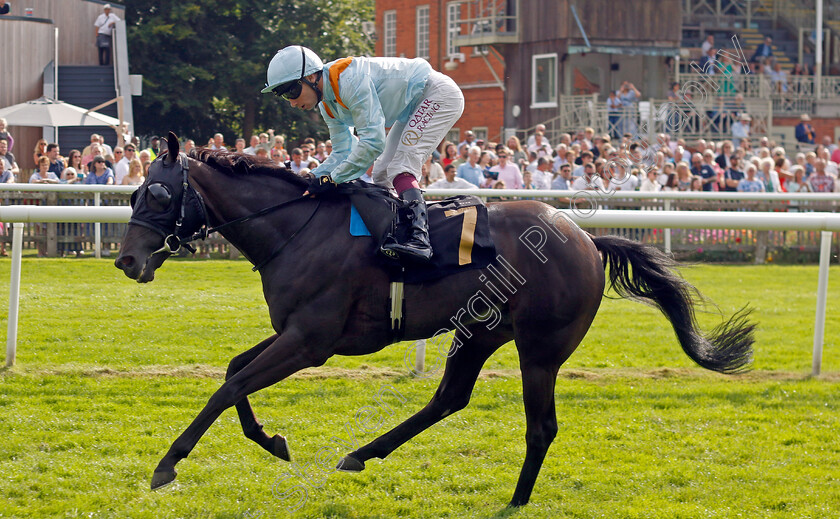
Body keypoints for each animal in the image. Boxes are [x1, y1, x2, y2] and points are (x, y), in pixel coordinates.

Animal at [113, 133, 756, 508]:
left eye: (157, 193)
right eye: (135, 191)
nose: (127, 260)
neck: (296, 228)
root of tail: (585, 238)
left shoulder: (311, 340)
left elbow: (230, 386)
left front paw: (167, 465)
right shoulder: (293, 331)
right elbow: (233, 372)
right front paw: (272, 440)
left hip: (540, 347)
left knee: (540, 426)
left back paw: (516, 501)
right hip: (479, 332)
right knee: (449, 397)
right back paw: (362, 454)